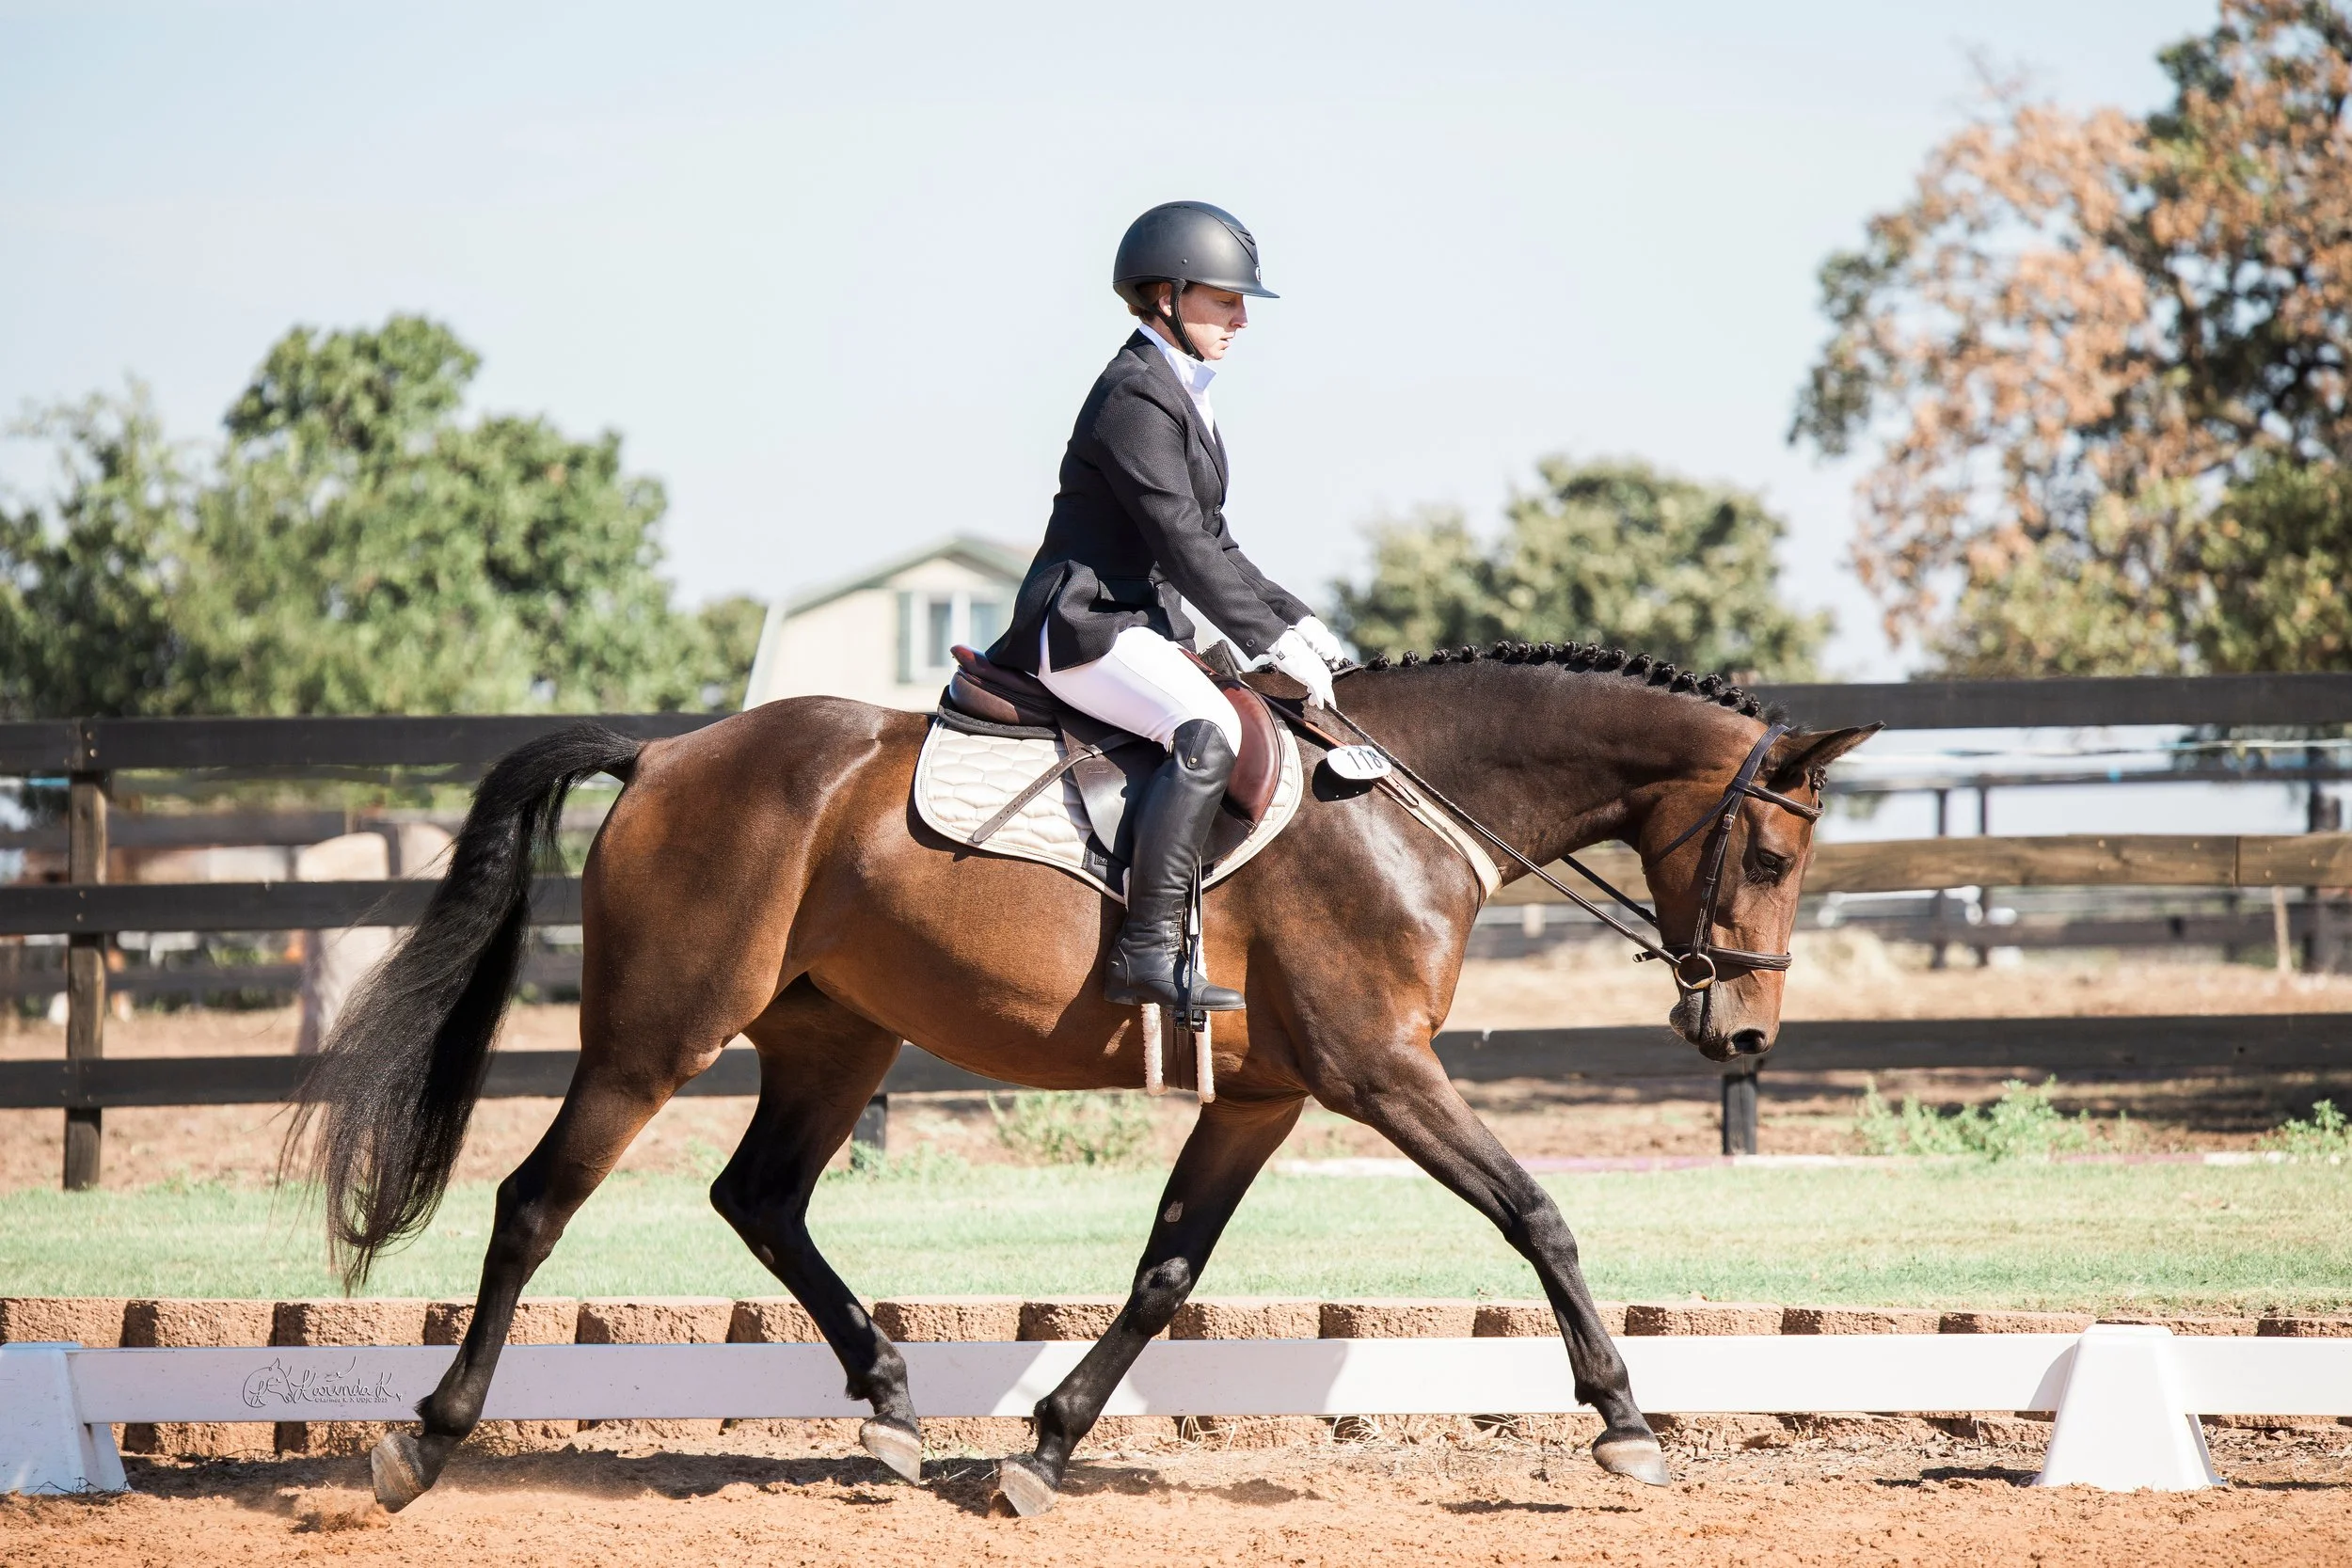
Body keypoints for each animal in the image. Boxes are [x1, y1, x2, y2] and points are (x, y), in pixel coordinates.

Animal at [289, 641, 1875, 1517]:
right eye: (1770, 851)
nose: (1743, 1040)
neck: (1404, 805)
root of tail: (671, 748)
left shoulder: (1263, 1095)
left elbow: (1166, 1269)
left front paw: (1044, 1446)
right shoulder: (1380, 1070)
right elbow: (1540, 1213)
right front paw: (1627, 1425)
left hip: (835, 1035)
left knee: (761, 1196)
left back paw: (892, 1400)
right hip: (653, 1036)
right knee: (536, 1201)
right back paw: (424, 1440)